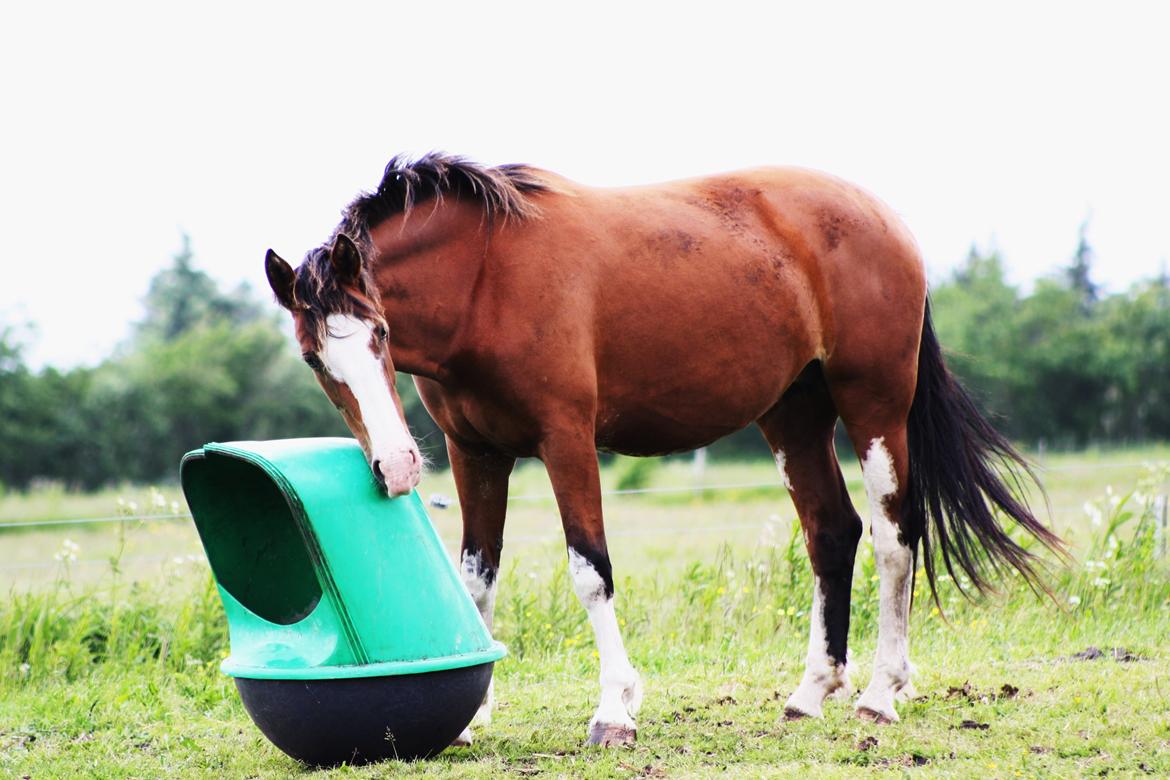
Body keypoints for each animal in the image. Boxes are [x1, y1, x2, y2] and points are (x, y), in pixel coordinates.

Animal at [263, 155, 1062, 748]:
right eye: (312, 358)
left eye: (380, 333)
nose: (396, 468)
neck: (488, 280)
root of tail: (886, 220)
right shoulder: (475, 453)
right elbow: (477, 578)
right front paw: (468, 715)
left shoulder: (566, 440)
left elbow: (590, 572)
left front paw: (614, 710)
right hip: (793, 416)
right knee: (833, 535)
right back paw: (810, 693)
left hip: (874, 405)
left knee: (897, 537)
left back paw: (881, 694)